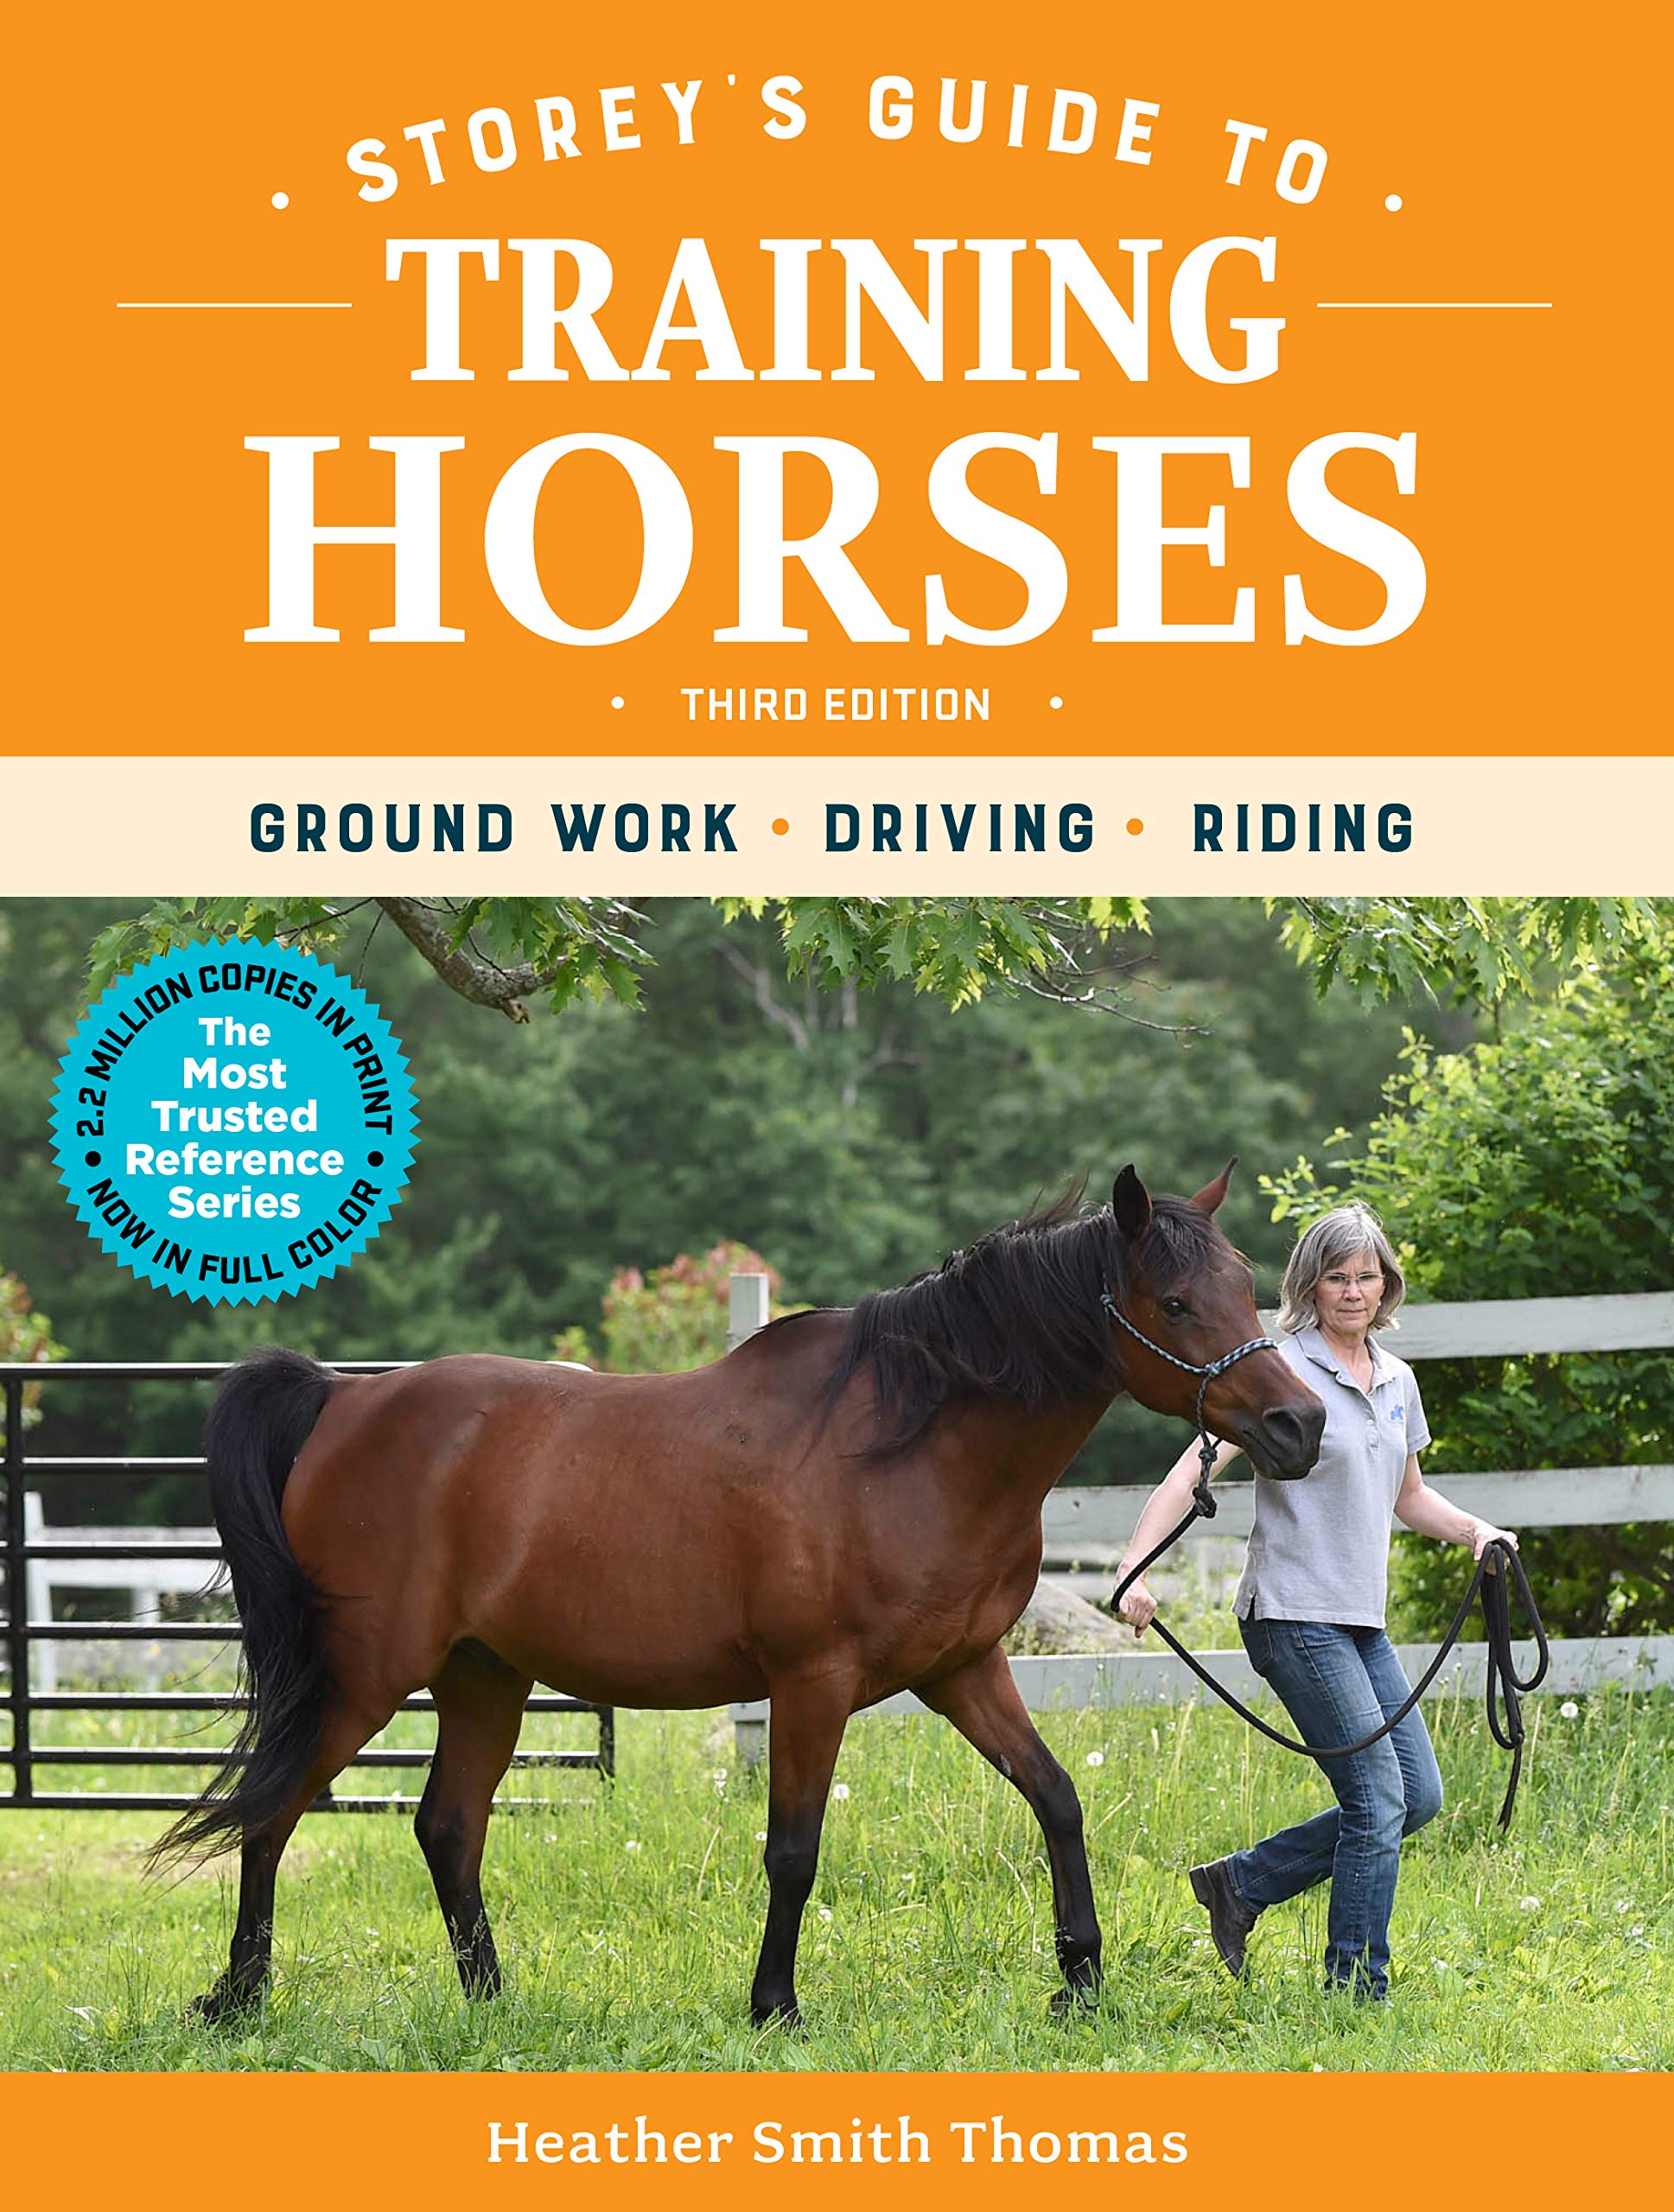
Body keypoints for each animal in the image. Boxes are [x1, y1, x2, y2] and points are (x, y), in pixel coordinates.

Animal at [161, 1160, 1325, 2026]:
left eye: (1246, 1289)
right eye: (1173, 1301)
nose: (1297, 1426)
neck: (909, 1444)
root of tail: (340, 1400)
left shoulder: (961, 1669)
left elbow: (1055, 1797)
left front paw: (1079, 1976)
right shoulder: (811, 1685)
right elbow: (793, 1850)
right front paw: (775, 2004)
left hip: (482, 1678)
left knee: (448, 1827)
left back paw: (491, 2001)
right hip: (365, 1678)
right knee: (271, 1811)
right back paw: (240, 1997)